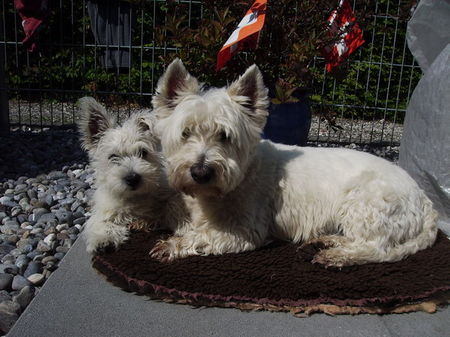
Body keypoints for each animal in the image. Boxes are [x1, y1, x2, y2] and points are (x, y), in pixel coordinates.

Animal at [78, 96, 189, 252]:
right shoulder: (104, 209)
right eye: (113, 157)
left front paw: (184, 223)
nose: (132, 178)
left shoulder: (170, 192)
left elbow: (173, 203)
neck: (134, 197)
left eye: (143, 152)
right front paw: (104, 239)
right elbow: (99, 222)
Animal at [149, 59, 438, 266]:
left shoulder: (247, 228)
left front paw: (171, 245)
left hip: (365, 201)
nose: (200, 172)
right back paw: (326, 240)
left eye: (224, 135)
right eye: (185, 133)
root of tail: (425, 202)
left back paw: (335, 256)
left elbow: (205, 235)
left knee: (376, 247)